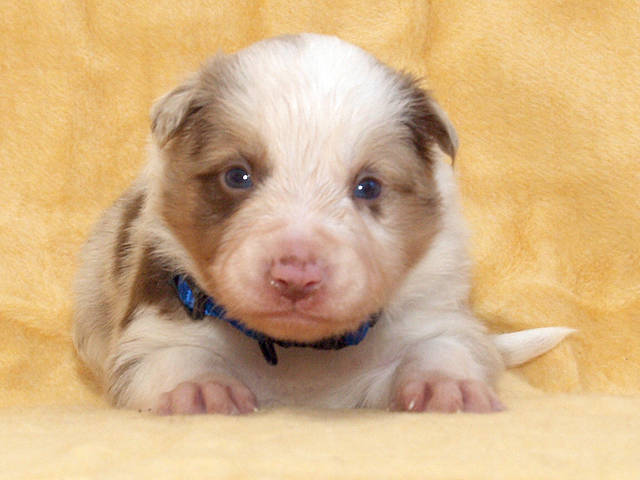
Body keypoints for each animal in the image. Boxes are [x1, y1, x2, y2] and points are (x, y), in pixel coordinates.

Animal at [73, 34, 571, 415]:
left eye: (368, 186)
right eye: (237, 176)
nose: (296, 275)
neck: (301, 351)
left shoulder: (432, 310)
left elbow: (441, 346)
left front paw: (445, 387)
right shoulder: (154, 326)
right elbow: (175, 356)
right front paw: (199, 389)